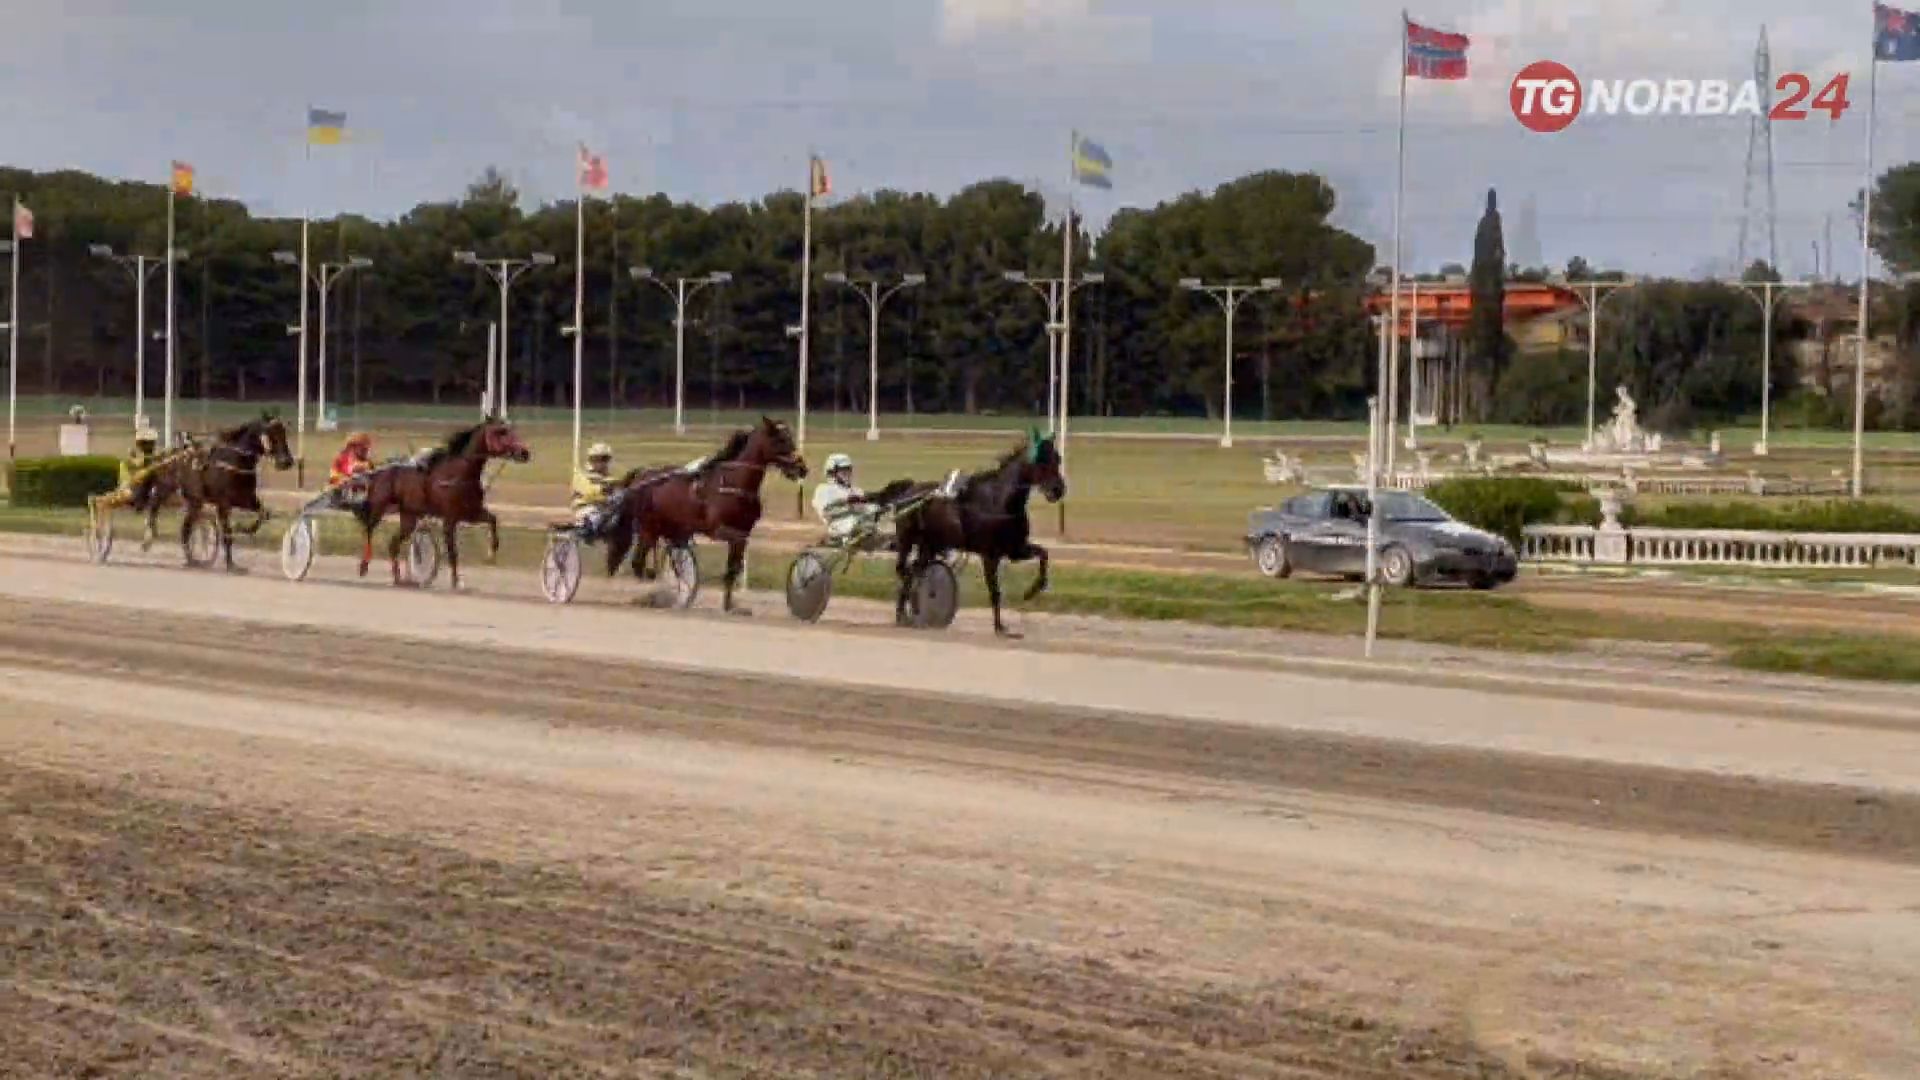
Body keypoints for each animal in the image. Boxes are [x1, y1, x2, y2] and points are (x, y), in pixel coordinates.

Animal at [167, 407, 293, 568]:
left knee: (187, 528)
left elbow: (263, 514)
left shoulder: (246, 499)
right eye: (271, 434)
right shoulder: (223, 504)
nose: (287, 462)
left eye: (283, 433)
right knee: (186, 529)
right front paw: (231, 564)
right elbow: (227, 534)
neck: (234, 462)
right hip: (195, 500)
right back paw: (191, 560)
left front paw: (244, 528)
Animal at [353, 417, 529, 588]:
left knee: (393, 543)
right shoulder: (450, 519)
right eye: (501, 432)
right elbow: (452, 551)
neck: (458, 475)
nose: (525, 453)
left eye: (512, 430)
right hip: (378, 509)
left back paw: (397, 577)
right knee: (368, 530)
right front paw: (456, 581)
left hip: (409, 517)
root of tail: (377, 472)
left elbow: (493, 520)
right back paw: (364, 566)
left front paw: (491, 553)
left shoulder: (471, 513)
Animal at [602, 413, 806, 611]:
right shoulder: (720, 530)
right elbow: (731, 561)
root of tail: (642, 475)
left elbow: (733, 568)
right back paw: (655, 593)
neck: (733, 482)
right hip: (648, 528)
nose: (802, 469)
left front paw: (729, 605)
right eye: (780, 439)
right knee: (638, 563)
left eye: (790, 437)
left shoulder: (743, 531)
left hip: (667, 528)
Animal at [894, 424, 1075, 634]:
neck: (998, 501)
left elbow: (1043, 555)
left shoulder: (1015, 549)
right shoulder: (989, 555)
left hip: (930, 545)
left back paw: (906, 615)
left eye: (1057, 458)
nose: (1058, 490)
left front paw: (1032, 591)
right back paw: (905, 613)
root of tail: (909, 490)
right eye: (1041, 461)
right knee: (905, 570)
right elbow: (995, 591)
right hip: (907, 539)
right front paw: (999, 627)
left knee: (913, 571)